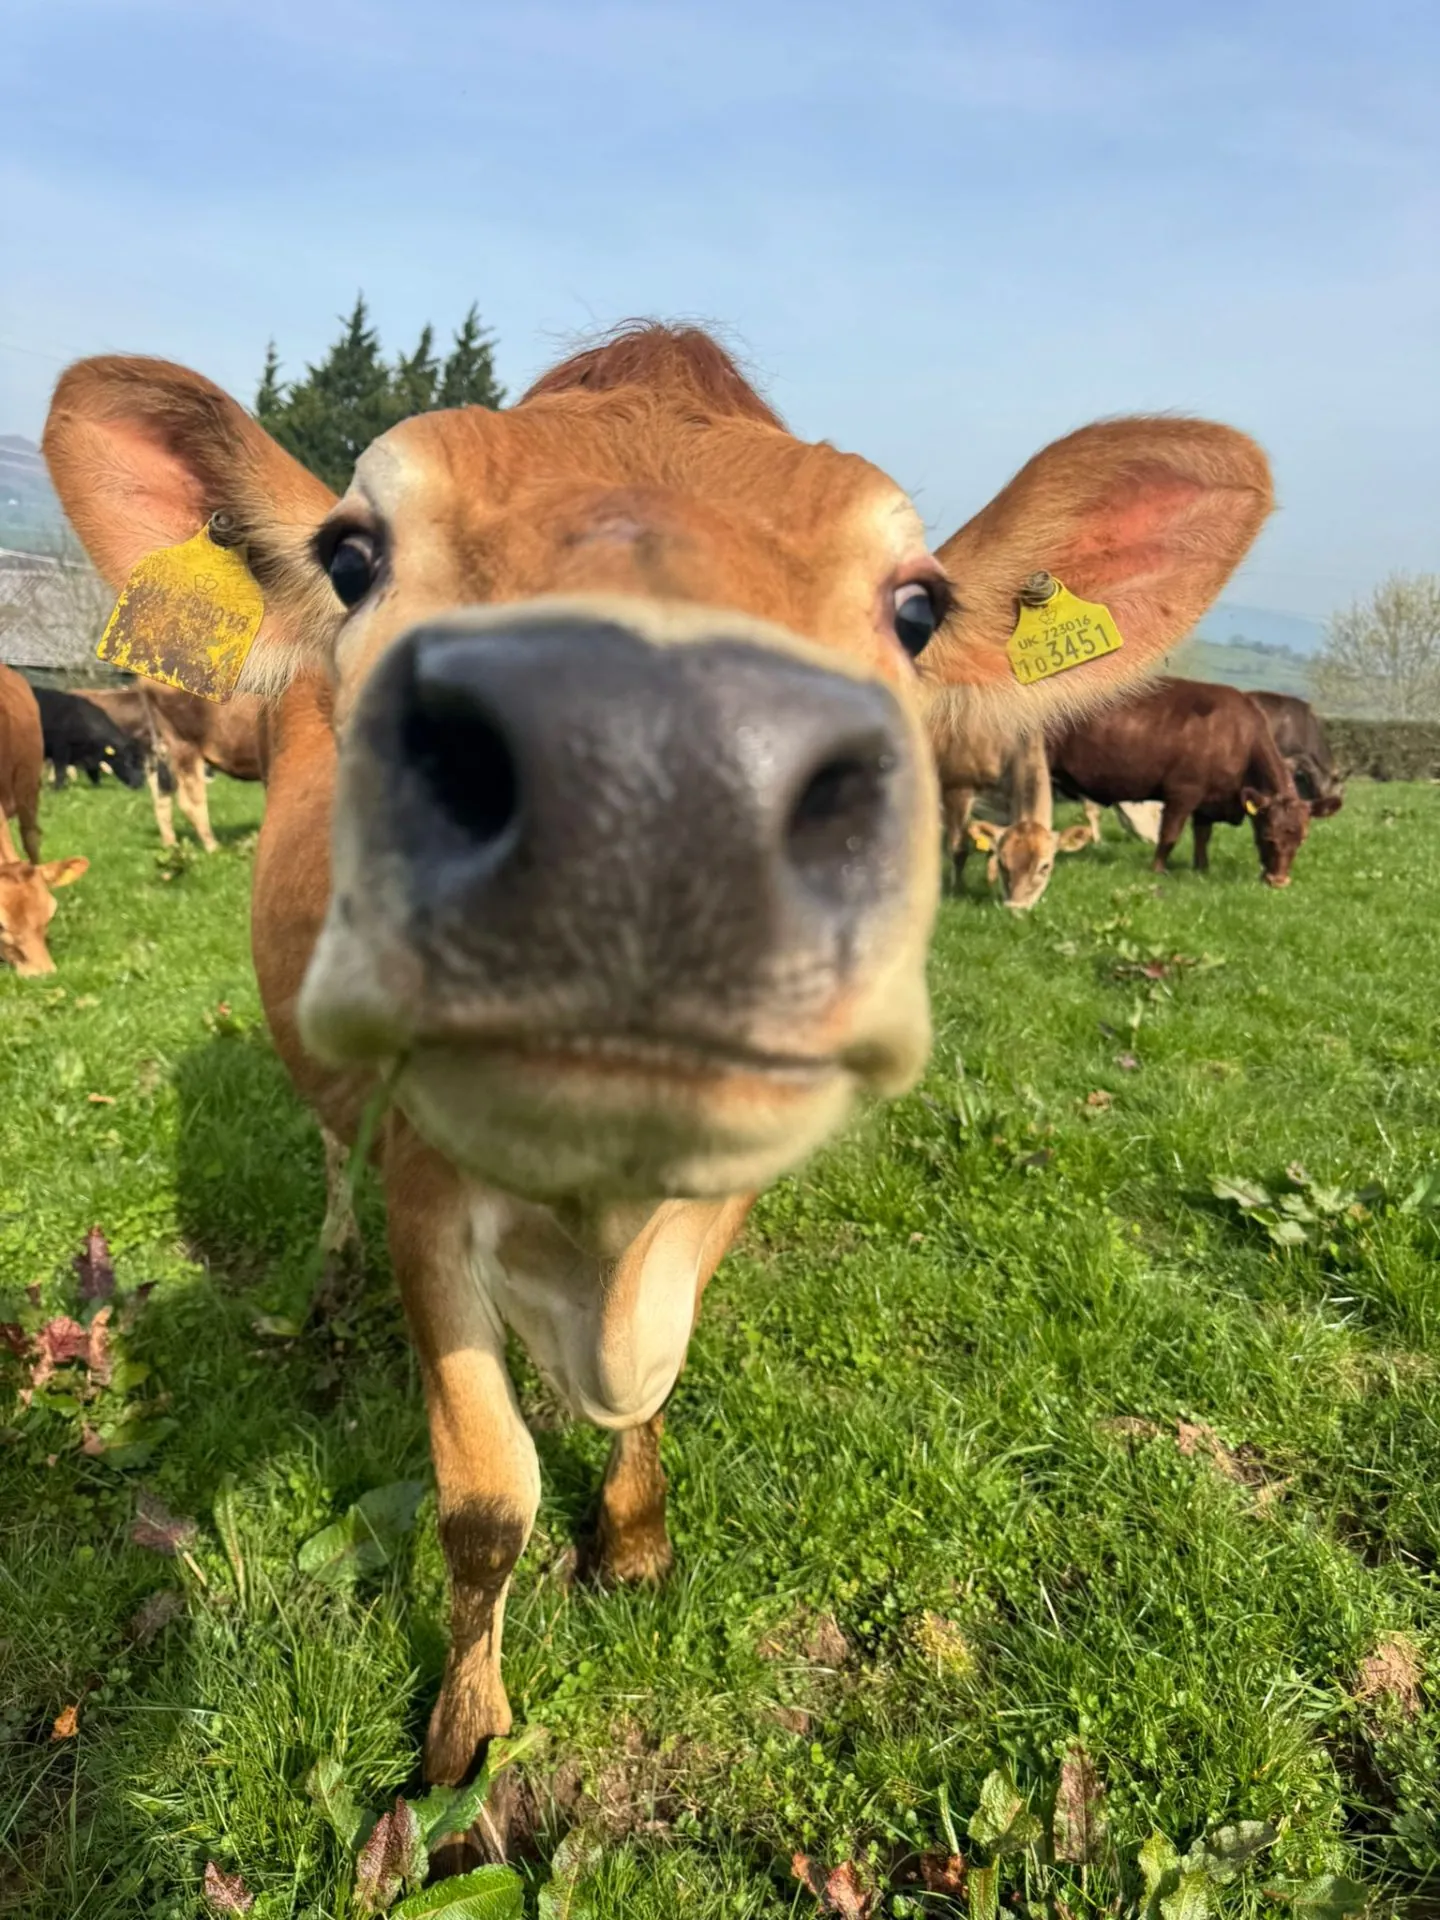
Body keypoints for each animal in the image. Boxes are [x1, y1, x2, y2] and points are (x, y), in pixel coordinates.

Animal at [77, 684, 264, 851]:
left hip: (160, 758)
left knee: (162, 799)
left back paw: (171, 845)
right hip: (184, 748)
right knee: (190, 802)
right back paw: (214, 848)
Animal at [1050, 677, 1340, 885]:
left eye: (1302, 838)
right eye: (1267, 836)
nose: (1278, 881)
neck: (1239, 737)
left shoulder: (1209, 802)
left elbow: (1203, 836)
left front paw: (1202, 868)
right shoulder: (1183, 793)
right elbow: (1170, 835)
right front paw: (1158, 870)